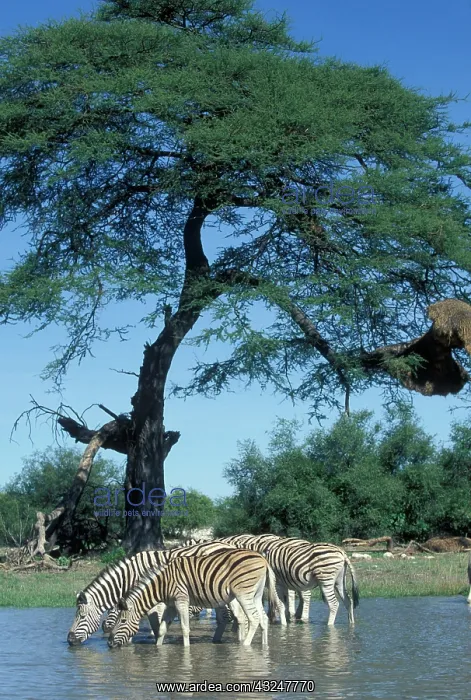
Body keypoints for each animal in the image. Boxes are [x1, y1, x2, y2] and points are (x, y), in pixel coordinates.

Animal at [67, 540, 238, 645]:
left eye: (81, 617)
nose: (69, 640)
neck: (131, 576)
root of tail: (228, 545)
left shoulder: (154, 601)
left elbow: (156, 625)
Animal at [107, 549, 278, 648]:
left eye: (122, 621)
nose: (108, 643)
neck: (163, 584)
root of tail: (263, 558)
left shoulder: (181, 600)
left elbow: (185, 628)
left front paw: (186, 651)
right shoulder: (171, 605)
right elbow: (162, 629)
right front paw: (158, 648)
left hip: (243, 593)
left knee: (254, 618)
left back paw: (246, 646)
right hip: (256, 595)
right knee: (263, 618)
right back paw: (264, 646)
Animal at [218, 535, 359, 626]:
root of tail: (341, 551)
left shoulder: (277, 584)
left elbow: (279, 603)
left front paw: (283, 625)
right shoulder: (282, 584)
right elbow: (283, 604)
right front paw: (286, 621)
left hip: (326, 579)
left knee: (334, 604)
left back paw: (329, 626)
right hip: (339, 581)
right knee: (348, 601)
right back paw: (351, 624)